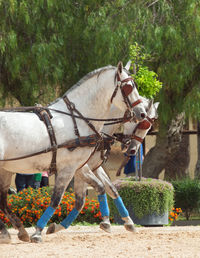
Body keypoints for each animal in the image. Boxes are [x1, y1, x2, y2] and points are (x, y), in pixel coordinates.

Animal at [0, 61, 147, 243]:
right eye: (128, 87)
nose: (142, 113)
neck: (78, 120)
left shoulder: (80, 167)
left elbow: (98, 190)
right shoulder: (68, 168)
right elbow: (56, 199)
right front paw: (38, 231)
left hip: (5, 169)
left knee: (3, 201)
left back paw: (16, 231)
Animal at [45, 98, 159, 235]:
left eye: (149, 125)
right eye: (143, 123)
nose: (133, 150)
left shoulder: (95, 167)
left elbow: (111, 189)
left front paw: (127, 222)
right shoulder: (81, 168)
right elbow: (81, 200)